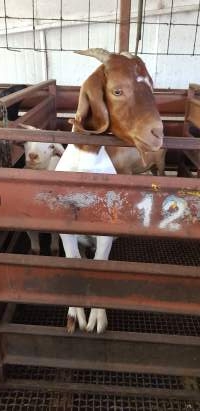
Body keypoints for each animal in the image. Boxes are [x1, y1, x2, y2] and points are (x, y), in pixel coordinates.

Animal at [55, 49, 164, 334]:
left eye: (151, 87)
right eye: (117, 90)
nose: (158, 133)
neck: (87, 159)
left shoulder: (106, 229)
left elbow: (102, 265)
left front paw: (96, 319)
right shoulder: (65, 229)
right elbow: (73, 260)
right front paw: (75, 315)